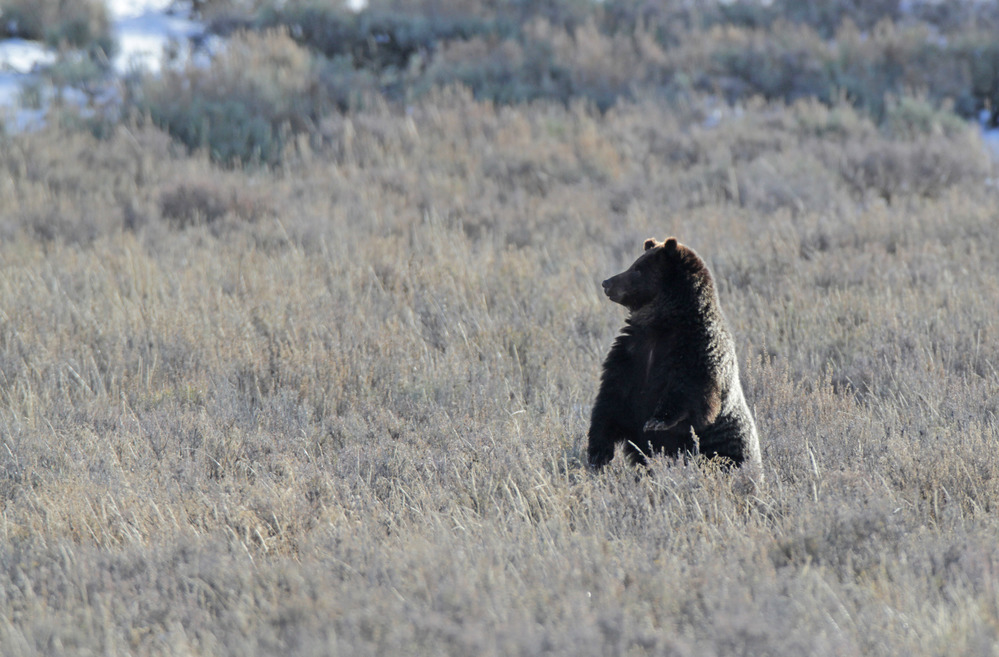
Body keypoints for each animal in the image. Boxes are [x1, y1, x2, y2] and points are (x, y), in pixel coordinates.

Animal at [587, 237, 762, 470]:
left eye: (638, 269)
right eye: (635, 264)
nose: (607, 283)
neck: (662, 324)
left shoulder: (696, 349)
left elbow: (689, 390)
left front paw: (657, 421)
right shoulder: (631, 352)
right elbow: (610, 400)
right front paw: (598, 453)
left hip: (726, 449)